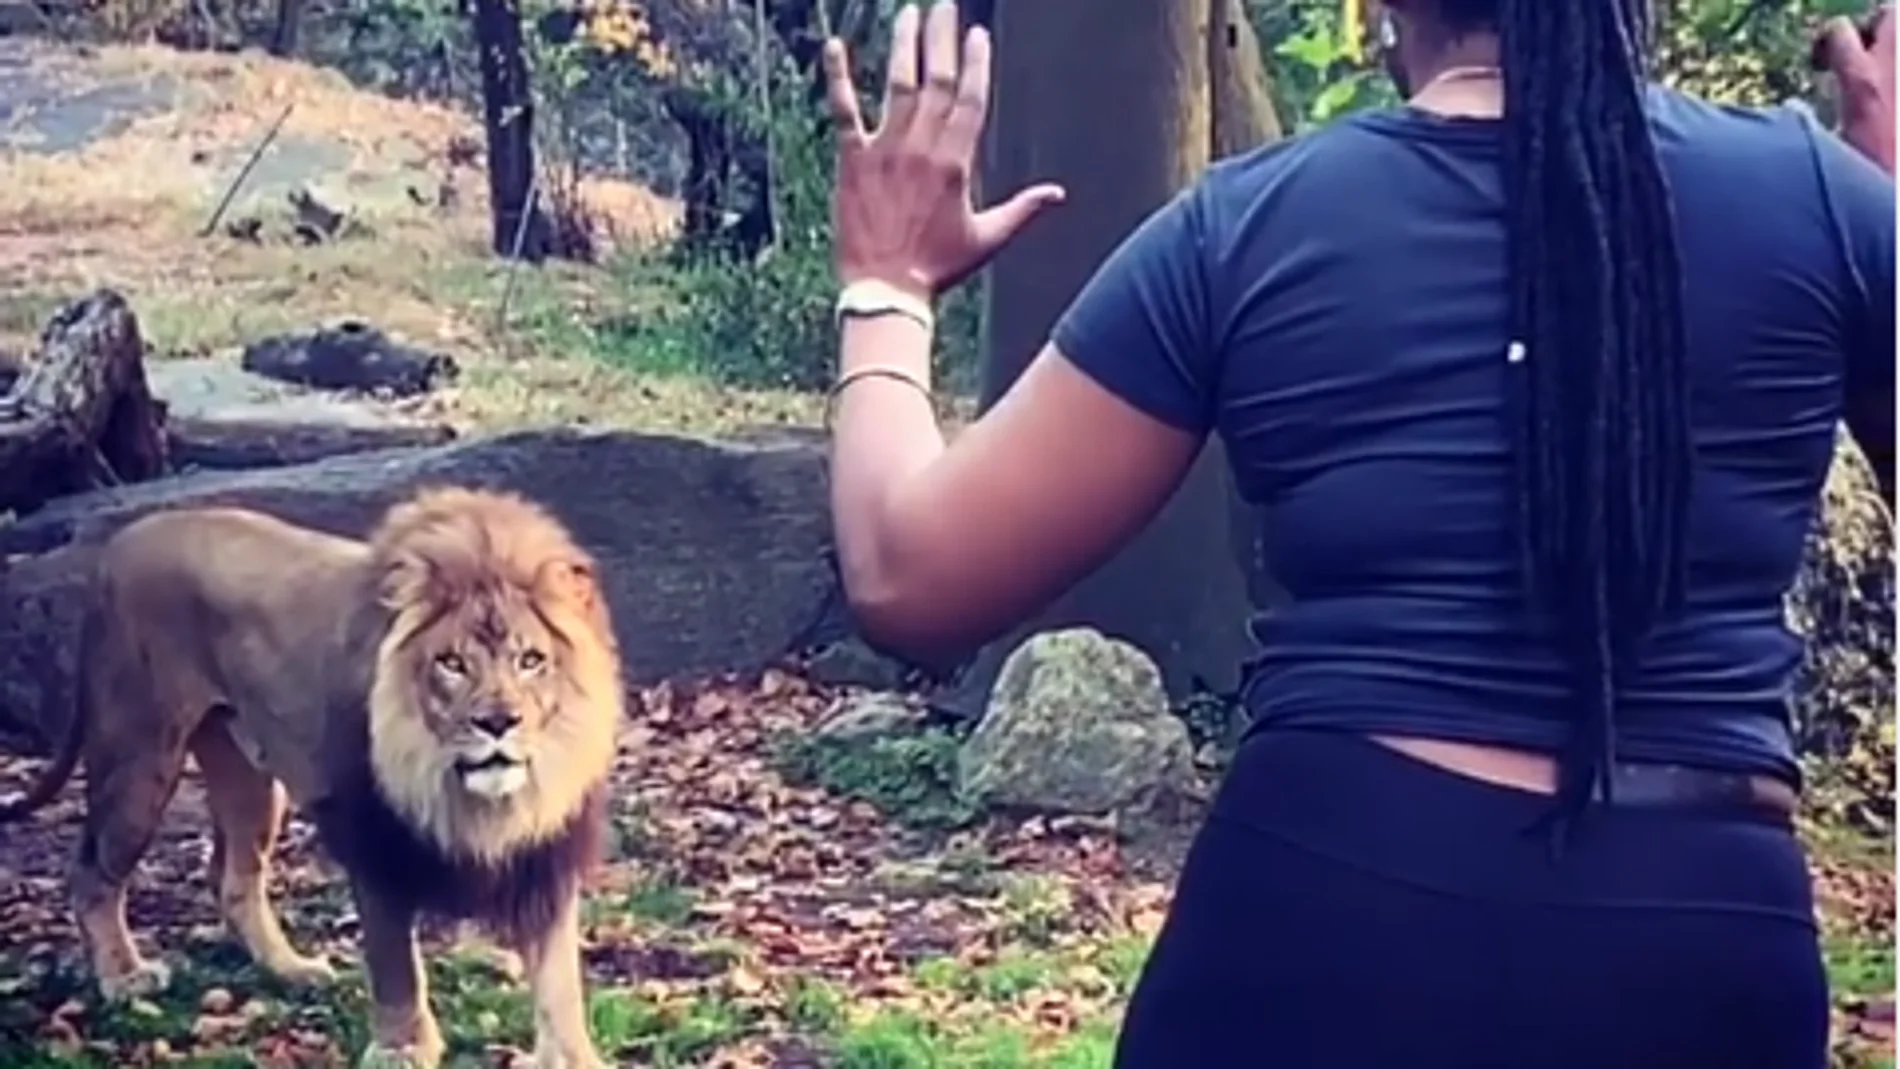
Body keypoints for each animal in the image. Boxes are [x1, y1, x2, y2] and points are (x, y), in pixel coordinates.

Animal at [0, 486, 623, 1069]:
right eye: (451, 663)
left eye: (531, 660)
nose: (497, 722)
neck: (465, 791)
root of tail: (117, 546)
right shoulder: (376, 841)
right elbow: (397, 967)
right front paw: (401, 1048)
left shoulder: (548, 858)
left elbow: (559, 982)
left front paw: (575, 1057)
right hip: (138, 757)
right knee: (92, 873)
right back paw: (123, 979)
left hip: (249, 780)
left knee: (232, 878)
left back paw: (292, 970)